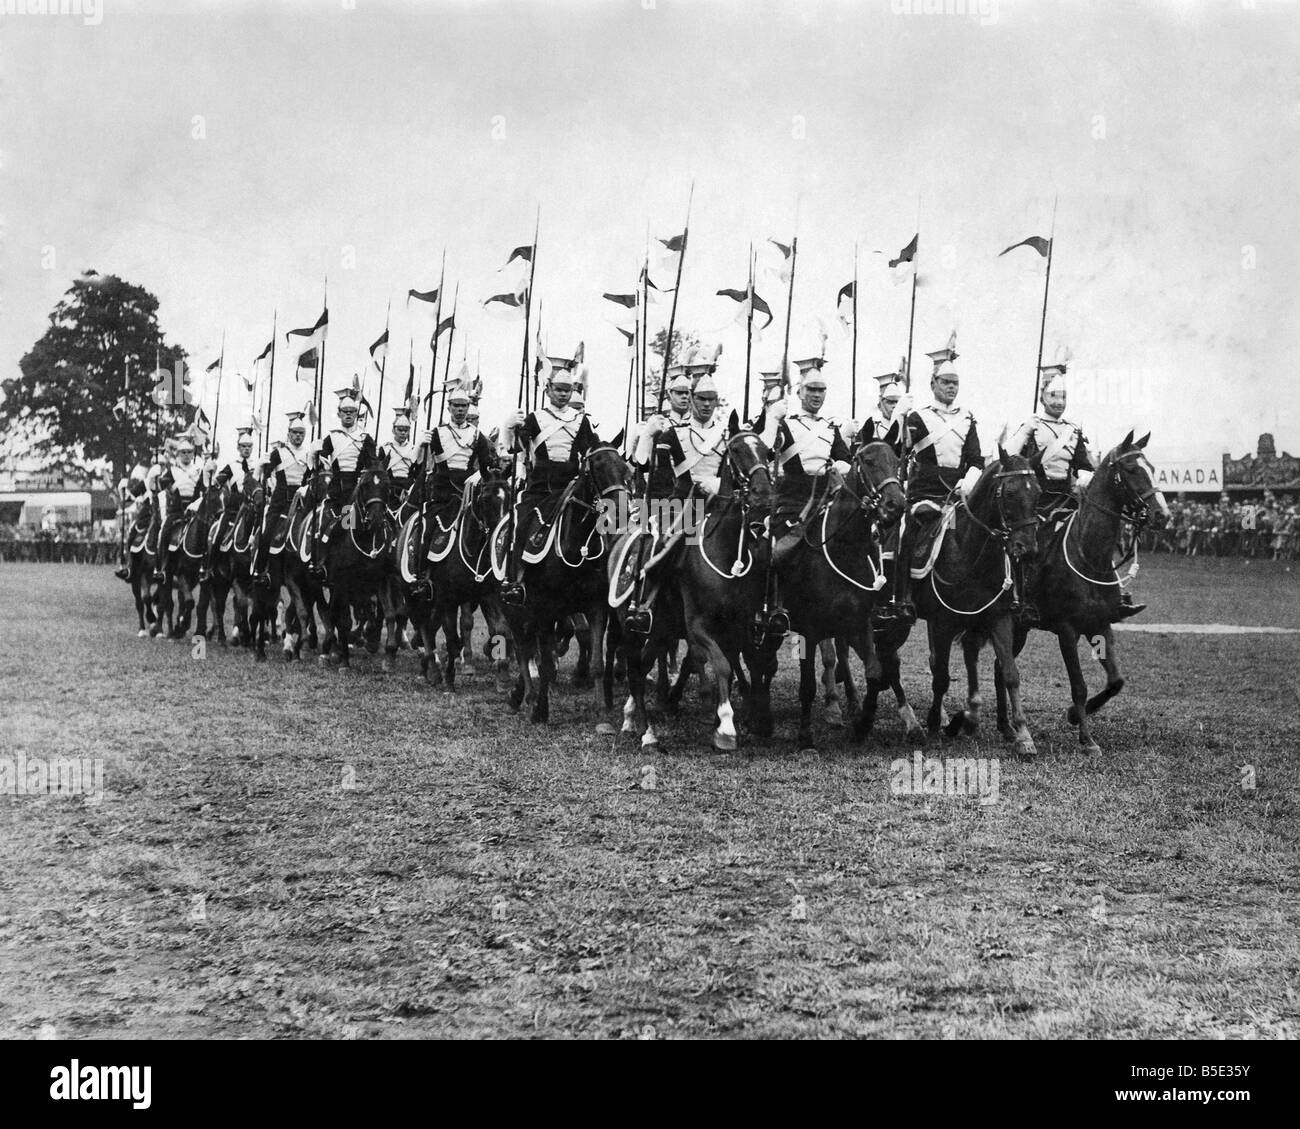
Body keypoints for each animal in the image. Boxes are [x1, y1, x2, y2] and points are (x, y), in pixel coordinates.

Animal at [993, 426, 1170, 754]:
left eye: (1151, 468)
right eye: (1131, 469)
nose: (1162, 515)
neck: (1089, 556)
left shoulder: (1101, 626)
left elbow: (1116, 681)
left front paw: (1075, 716)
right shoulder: (1067, 631)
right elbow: (1079, 685)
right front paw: (1087, 740)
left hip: (1020, 629)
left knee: (1001, 668)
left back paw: (1007, 728)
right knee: (1002, 667)